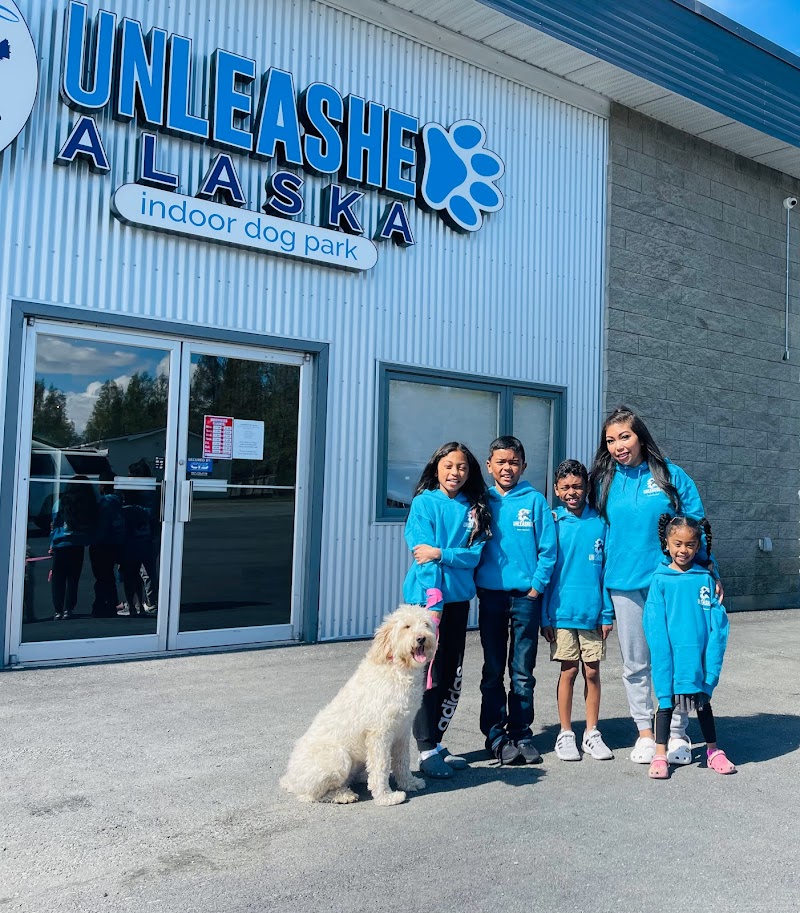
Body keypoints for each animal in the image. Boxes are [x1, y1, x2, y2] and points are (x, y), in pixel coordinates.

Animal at [280, 604, 436, 806]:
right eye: (407, 626)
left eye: (426, 624)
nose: (421, 638)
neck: (397, 670)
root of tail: (291, 779)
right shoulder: (380, 733)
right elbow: (381, 766)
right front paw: (385, 797)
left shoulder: (402, 730)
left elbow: (402, 760)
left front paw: (409, 783)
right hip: (337, 757)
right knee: (311, 795)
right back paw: (342, 795)